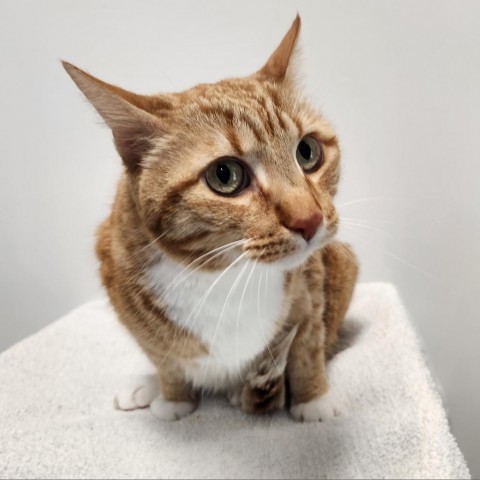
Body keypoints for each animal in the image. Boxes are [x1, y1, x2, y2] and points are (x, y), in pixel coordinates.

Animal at [62, 14, 356, 420]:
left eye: (307, 152)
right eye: (225, 175)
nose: (310, 220)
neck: (225, 276)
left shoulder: (313, 287)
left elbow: (307, 346)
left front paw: (314, 399)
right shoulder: (121, 284)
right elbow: (165, 358)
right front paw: (173, 399)